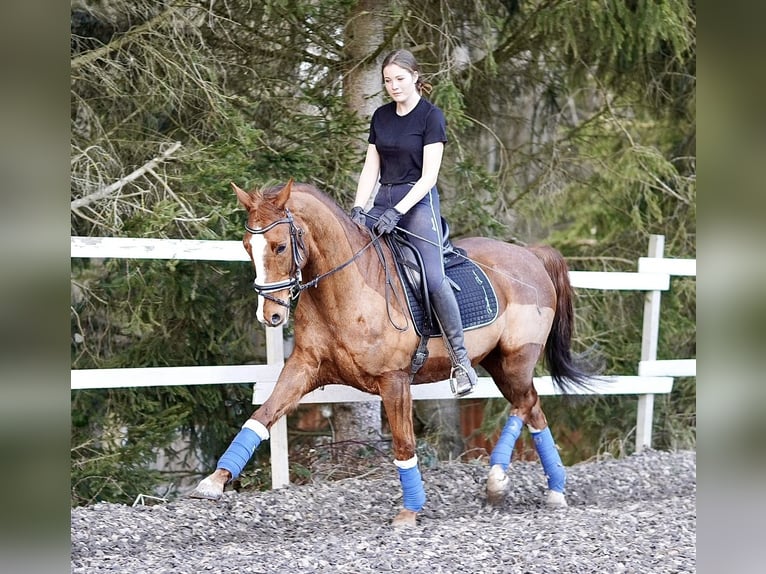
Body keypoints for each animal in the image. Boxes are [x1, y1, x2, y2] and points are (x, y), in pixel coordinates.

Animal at [189, 179, 596, 528]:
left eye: (279, 246)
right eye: (247, 246)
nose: (270, 315)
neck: (344, 290)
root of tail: (530, 255)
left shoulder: (395, 380)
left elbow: (403, 444)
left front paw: (409, 510)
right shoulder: (305, 367)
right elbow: (262, 416)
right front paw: (214, 481)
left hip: (516, 359)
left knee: (524, 404)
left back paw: (501, 481)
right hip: (500, 363)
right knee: (533, 408)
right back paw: (549, 490)